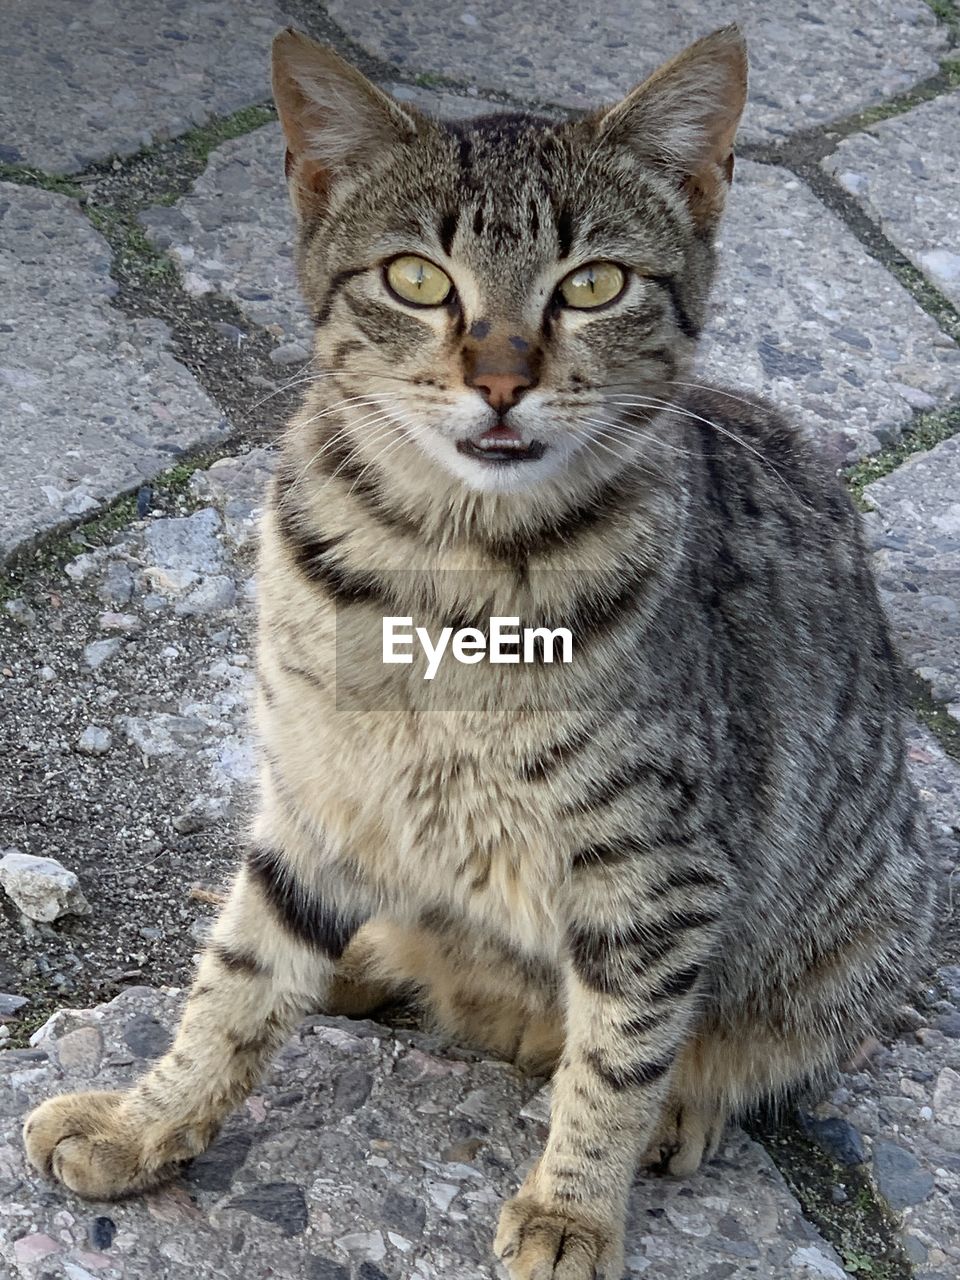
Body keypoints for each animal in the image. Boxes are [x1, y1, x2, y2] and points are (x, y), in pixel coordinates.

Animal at [26, 22, 936, 1280]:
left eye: (594, 283)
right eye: (417, 277)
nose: (501, 378)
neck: (437, 568)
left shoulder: (658, 871)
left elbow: (619, 1056)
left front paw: (573, 1207)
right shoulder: (314, 790)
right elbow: (236, 981)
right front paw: (141, 1119)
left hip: (855, 930)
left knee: (719, 1045)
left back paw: (678, 1101)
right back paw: (367, 959)